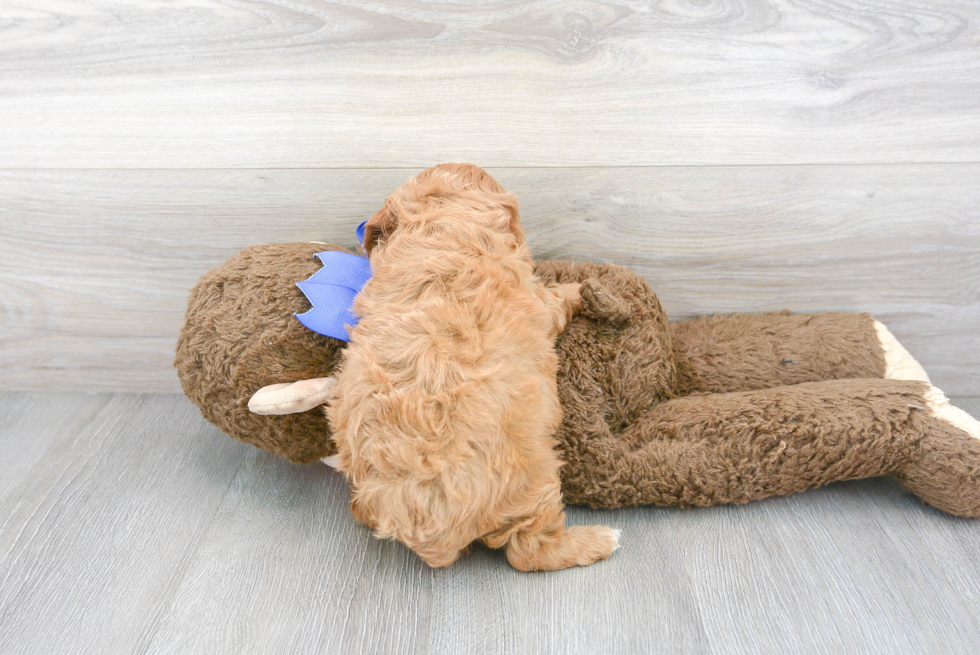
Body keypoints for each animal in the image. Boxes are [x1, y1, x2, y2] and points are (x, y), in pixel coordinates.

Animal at [330, 164, 620, 568]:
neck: (444, 231)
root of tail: (422, 523)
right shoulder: (538, 302)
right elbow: (558, 297)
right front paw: (585, 289)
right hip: (535, 478)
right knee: (530, 550)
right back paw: (601, 540)